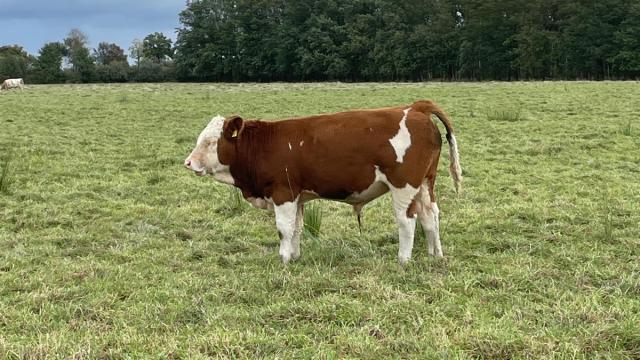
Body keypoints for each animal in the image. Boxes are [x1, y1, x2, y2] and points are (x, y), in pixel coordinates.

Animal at [185, 100, 460, 262]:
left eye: (210, 141)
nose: (188, 163)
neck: (264, 145)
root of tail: (415, 108)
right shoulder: (297, 196)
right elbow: (296, 228)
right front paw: (294, 256)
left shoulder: (283, 193)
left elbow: (283, 229)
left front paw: (283, 258)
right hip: (425, 183)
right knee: (430, 215)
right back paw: (435, 254)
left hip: (403, 186)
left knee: (407, 221)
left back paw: (403, 259)